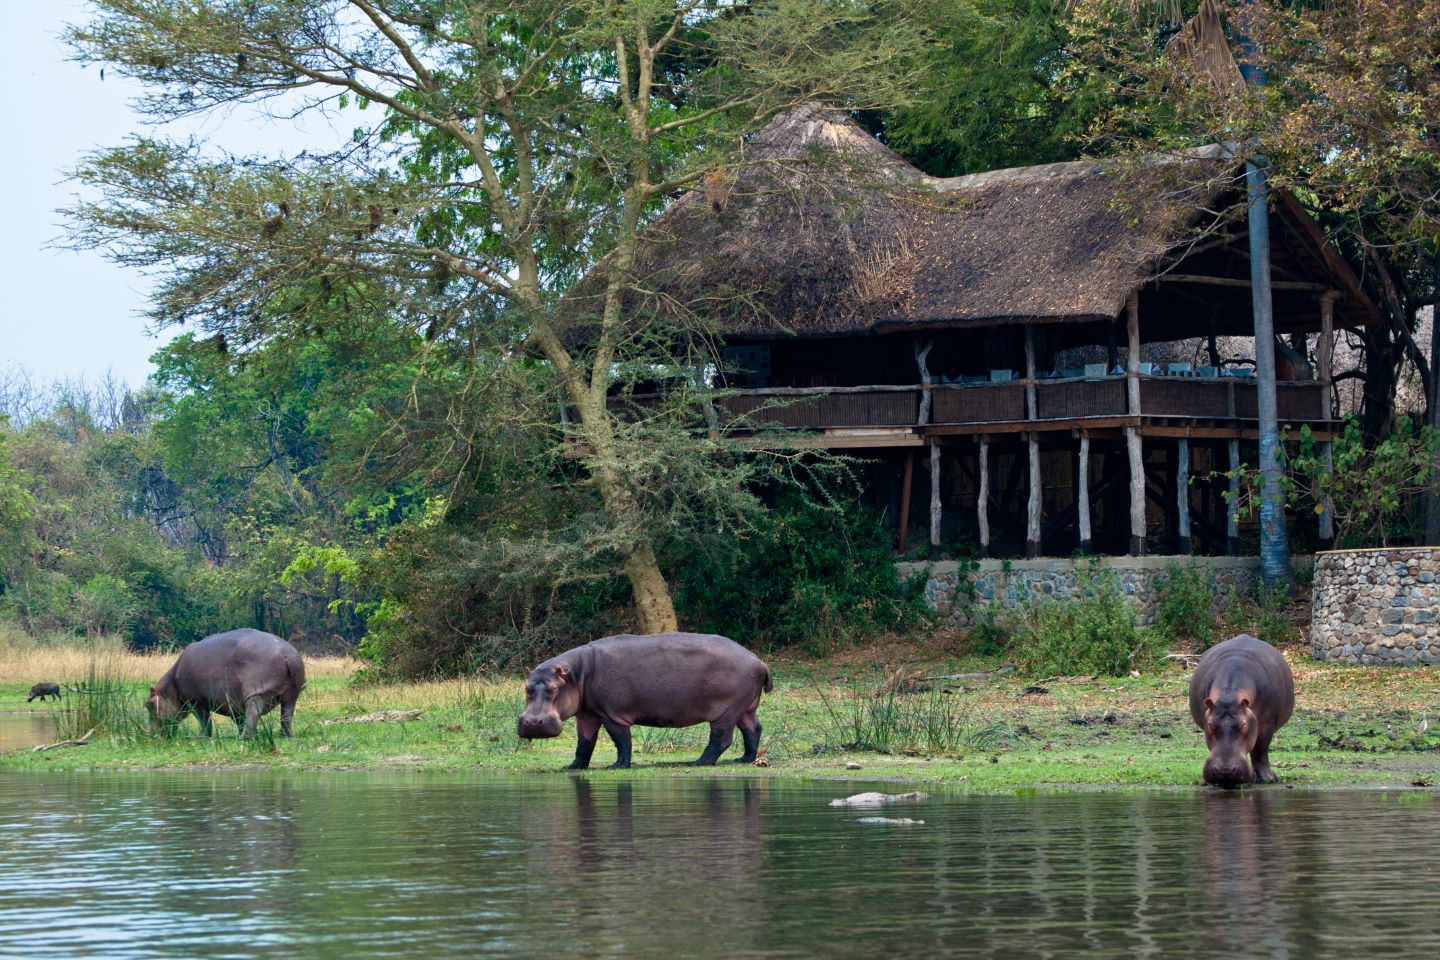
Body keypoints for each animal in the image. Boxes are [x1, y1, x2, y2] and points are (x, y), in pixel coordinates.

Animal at [148, 630, 303, 736]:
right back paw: (286, 735)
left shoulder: (196, 701)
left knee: (253, 712)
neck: (171, 687)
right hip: (292, 694)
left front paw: (202, 737)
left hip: (257, 692)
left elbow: (204, 720)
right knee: (286, 715)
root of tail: (287, 655)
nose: (151, 736)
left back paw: (245, 737)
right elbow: (239, 720)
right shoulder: (235, 704)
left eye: (148, 705)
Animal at [515, 630, 771, 771]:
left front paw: (616, 766)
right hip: (744, 709)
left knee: (721, 738)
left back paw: (697, 762)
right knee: (753, 729)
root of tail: (758, 660)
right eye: (526, 687)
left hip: (726, 711)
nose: (533, 723)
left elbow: (621, 741)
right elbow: (584, 743)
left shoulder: (612, 714)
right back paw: (743, 759)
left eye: (553, 688)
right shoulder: (587, 714)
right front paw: (573, 766)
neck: (576, 675)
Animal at [1186, 630, 1301, 788]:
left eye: (1244, 724)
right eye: (1210, 725)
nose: (1224, 771)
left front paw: (1267, 779)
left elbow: (1260, 750)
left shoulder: (1267, 723)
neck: (1229, 693)